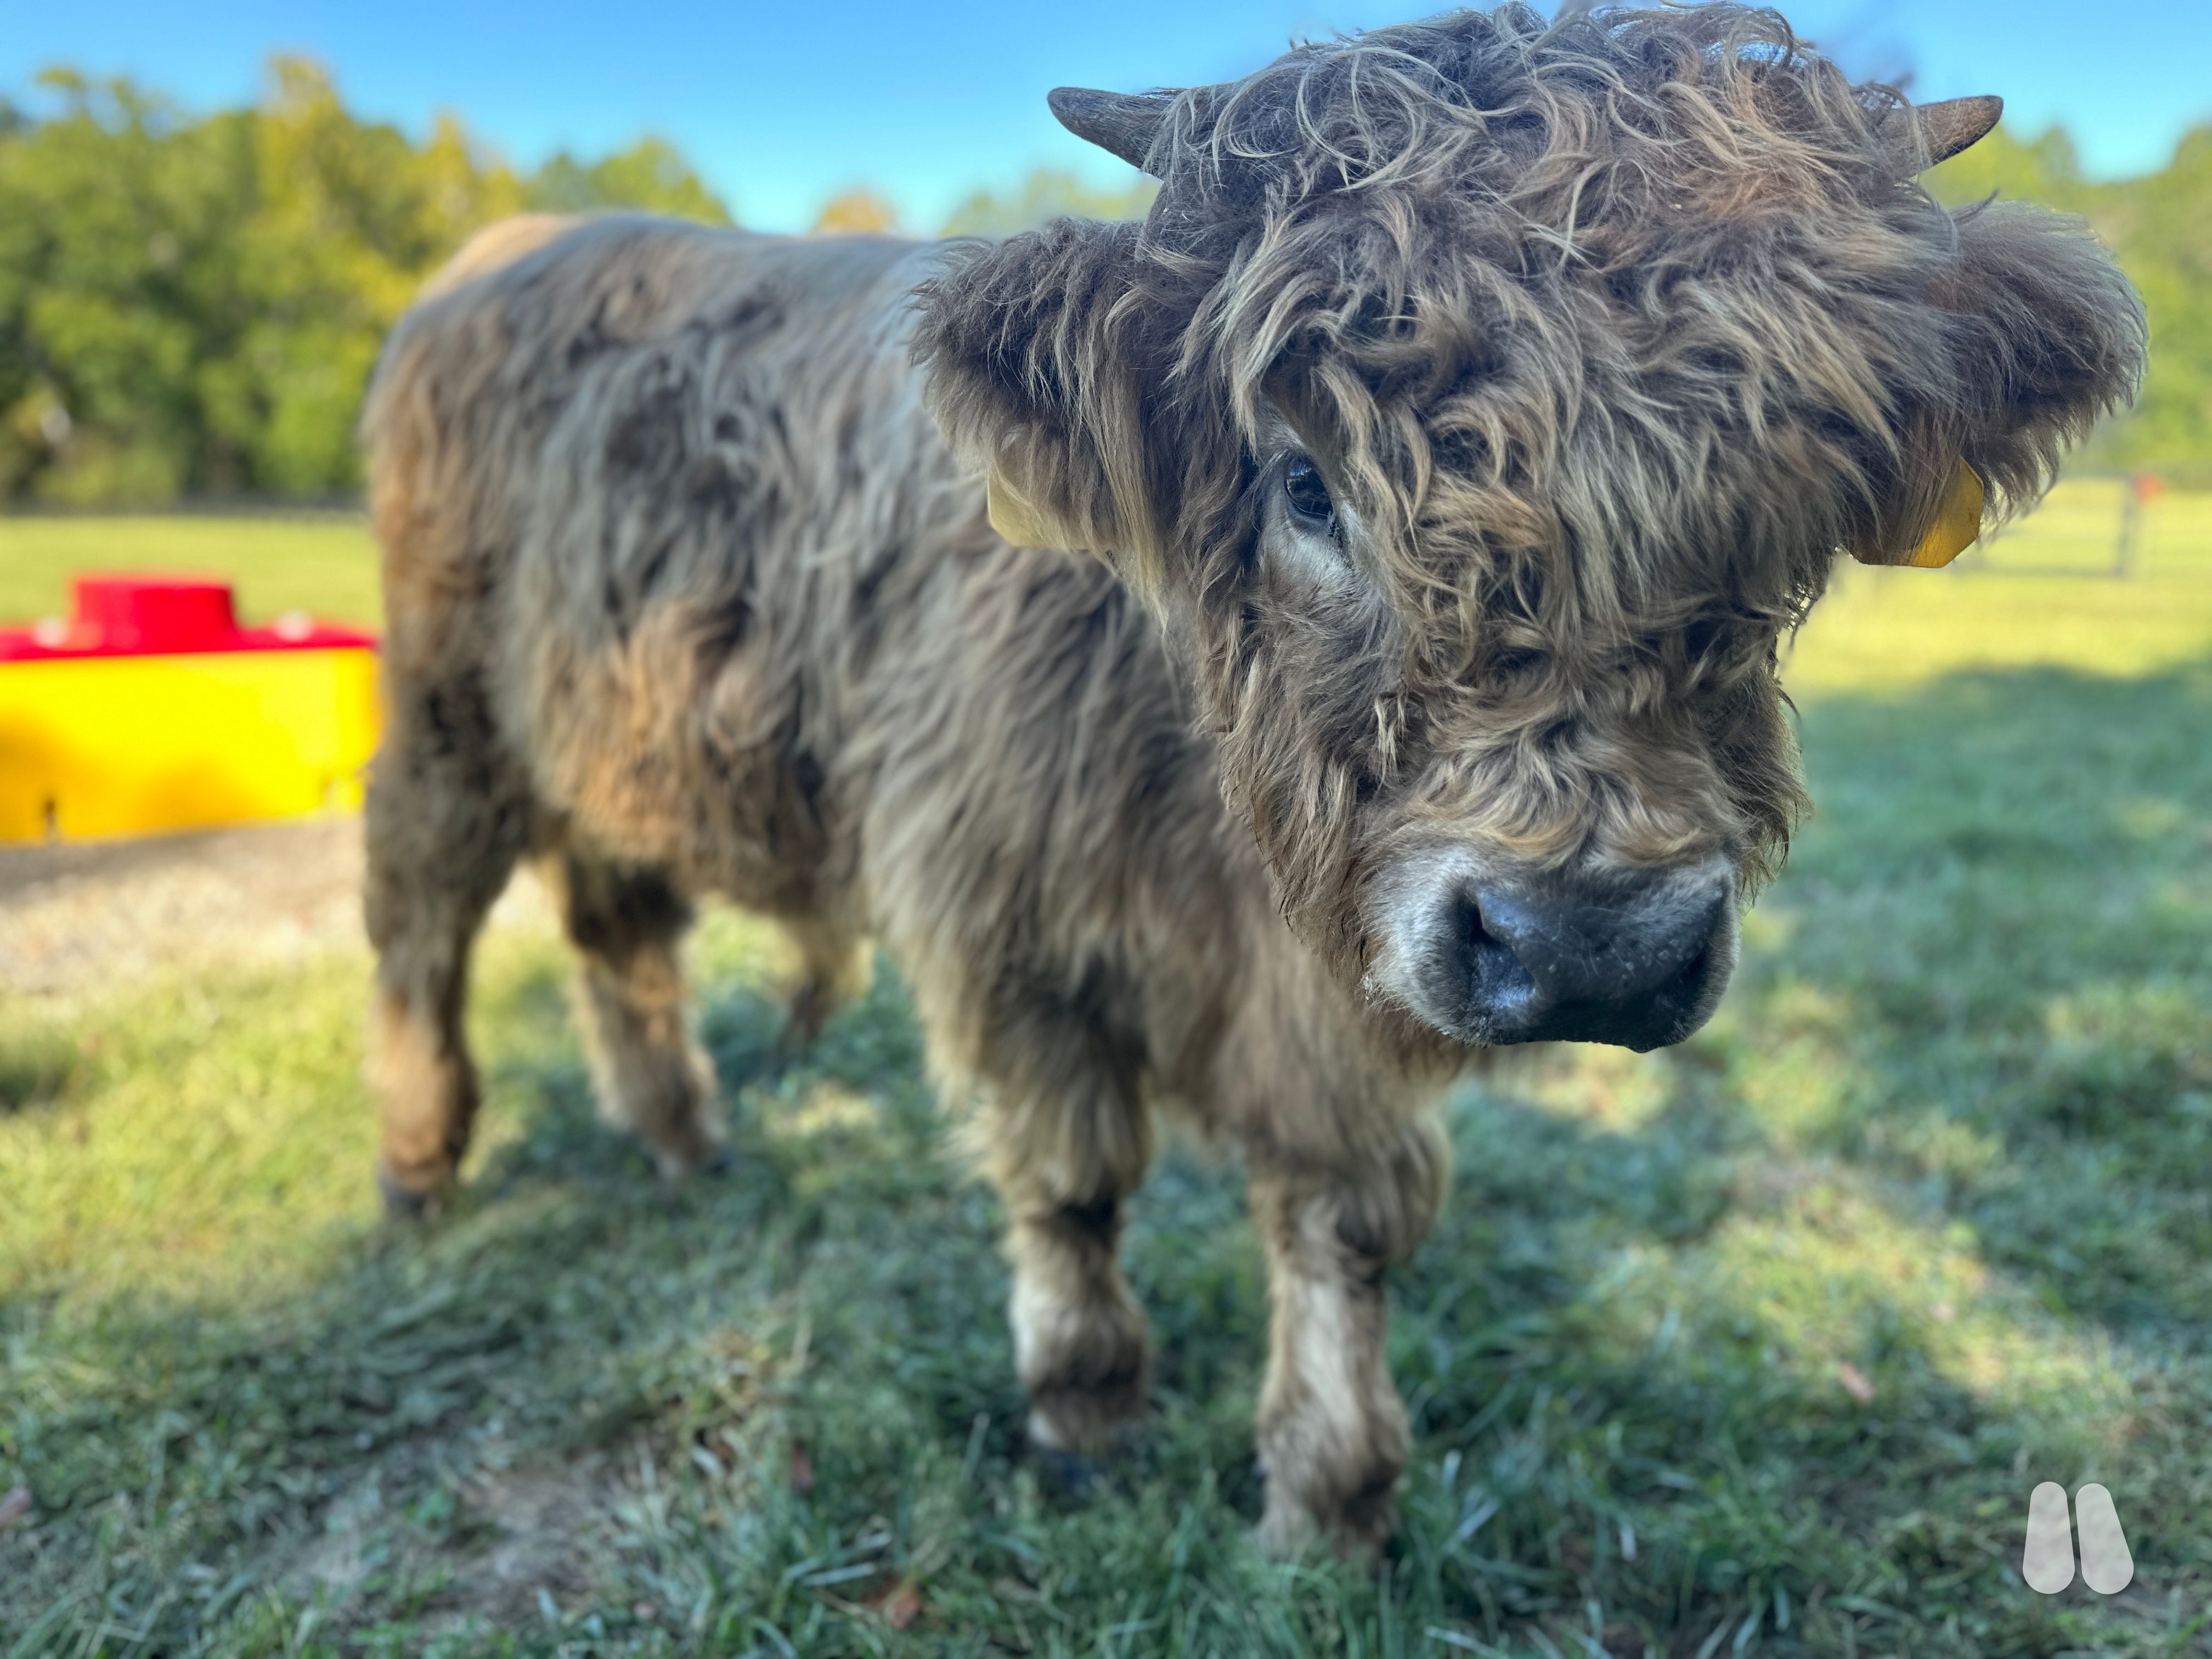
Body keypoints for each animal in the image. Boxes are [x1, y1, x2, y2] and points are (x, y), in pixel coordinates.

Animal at [359, 3, 2143, 1556]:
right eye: (1303, 483)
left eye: (1781, 513)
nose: (1594, 946)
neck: (1214, 813)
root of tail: (508, 254)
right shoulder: (1007, 920)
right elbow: (1074, 1179)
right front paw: (1086, 1413)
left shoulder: (1340, 979)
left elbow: (1344, 1217)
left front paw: (1329, 1497)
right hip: (448, 710)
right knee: (420, 915)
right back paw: (419, 1169)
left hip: (612, 737)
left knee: (618, 928)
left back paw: (683, 1139)